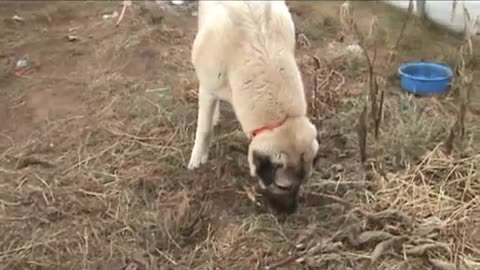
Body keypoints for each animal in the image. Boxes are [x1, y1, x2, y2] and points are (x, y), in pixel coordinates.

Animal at [187, 1, 318, 214]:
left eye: (303, 183)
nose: (291, 212)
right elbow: (204, 130)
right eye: (282, 186)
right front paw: (198, 158)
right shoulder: (208, 89)